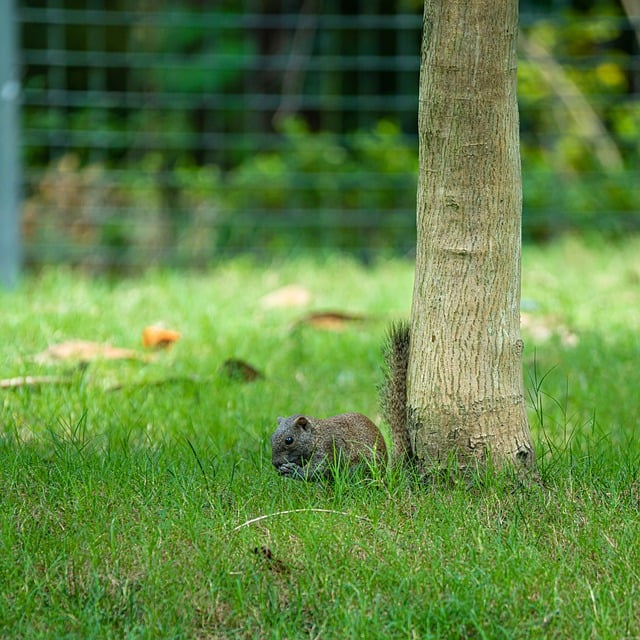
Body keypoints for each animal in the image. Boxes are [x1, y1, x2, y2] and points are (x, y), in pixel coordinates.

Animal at [268, 324, 410, 480]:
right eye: (271, 437)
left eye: (289, 440)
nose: (275, 463)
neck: (317, 435)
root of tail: (384, 475)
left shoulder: (328, 447)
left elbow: (318, 469)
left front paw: (294, 471)